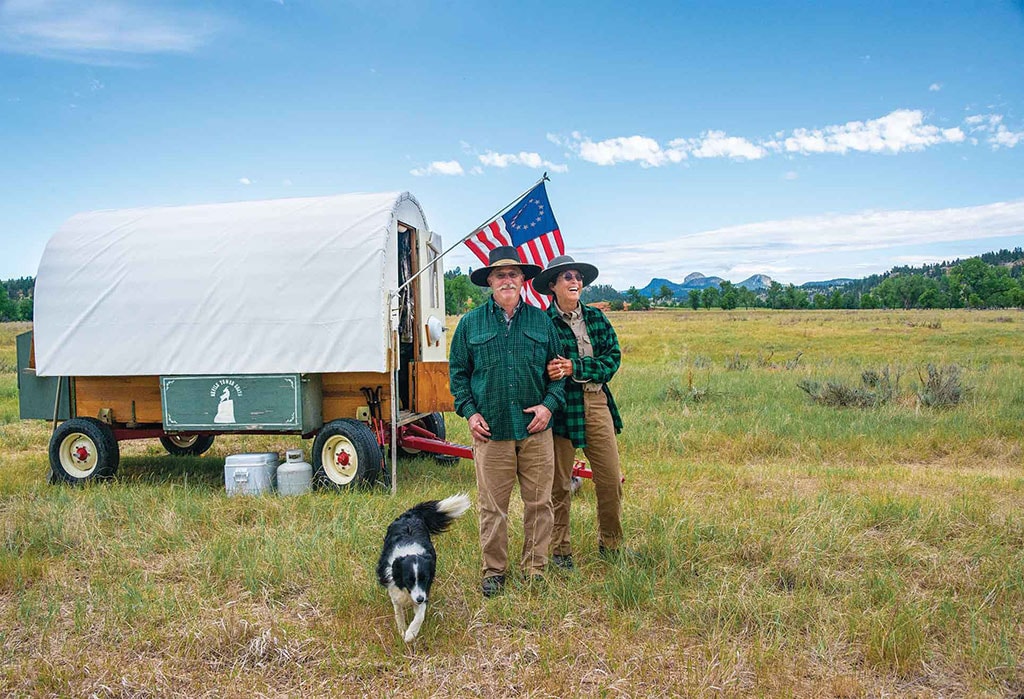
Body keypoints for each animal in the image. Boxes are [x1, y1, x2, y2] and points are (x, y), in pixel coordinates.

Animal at [376, 495, 471, 642]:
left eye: (424, 579)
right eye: (408, 580)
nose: (420, 599)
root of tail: (411, 514)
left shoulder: (424, 590)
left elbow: (420, 616)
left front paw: (410, 634)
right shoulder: (394, 588)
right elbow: (398, 612)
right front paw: (402, 630)